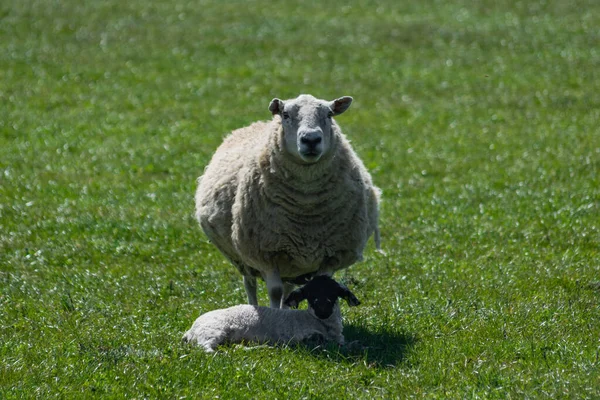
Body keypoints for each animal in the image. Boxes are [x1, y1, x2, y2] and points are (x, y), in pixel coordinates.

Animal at [183, 276, 358, 354]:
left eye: (333, 293)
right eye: (310, 295)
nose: (322, 310)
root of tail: (190, 331)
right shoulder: (301, 335)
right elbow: (320, 342)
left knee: (237, 346)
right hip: (212, 331)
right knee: (206, 349)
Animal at [195, 94, 380, 310]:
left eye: (329, 114)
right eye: (285, 114)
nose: (311, 139)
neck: (307, 207)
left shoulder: (332, 255)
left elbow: (319, 287)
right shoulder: (266, 252)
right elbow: (275, 292)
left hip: (293, 264)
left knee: (288, 289)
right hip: (245, 257)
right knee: (250, 284)